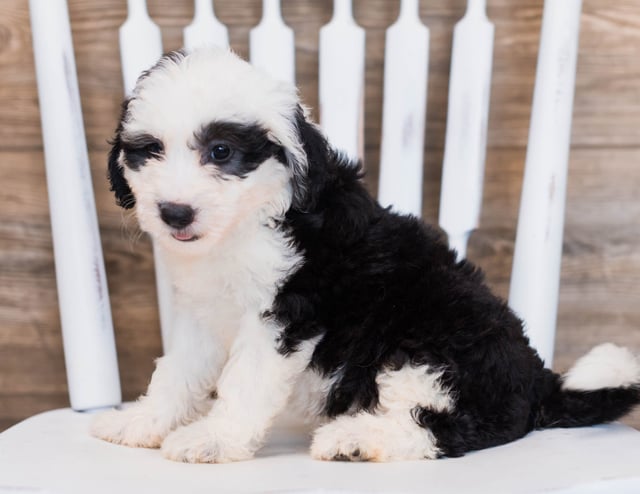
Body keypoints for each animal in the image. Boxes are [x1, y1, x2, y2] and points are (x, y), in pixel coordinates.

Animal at [90, 48, 640, 462]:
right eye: (150, 150)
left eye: (221, 151)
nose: (174, 213)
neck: (249, 222)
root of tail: (540, 381)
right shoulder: (203, 310)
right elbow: (177, 371)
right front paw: (144, 421)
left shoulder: (289, 311)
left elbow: (245, 381)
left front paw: (213, 440)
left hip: (432, 343)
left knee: (451, 426)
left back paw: (356, 438)